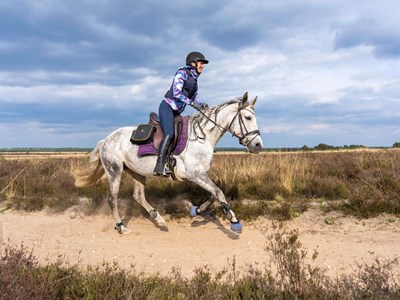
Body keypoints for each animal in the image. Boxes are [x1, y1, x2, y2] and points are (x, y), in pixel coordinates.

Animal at [73, 91, 264, 234]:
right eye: (248, 117)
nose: (258, 145)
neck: (202, 136)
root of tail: (105, 140)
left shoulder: (201, 174)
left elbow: (214, 194)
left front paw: (197, 211)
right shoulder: (195, 174)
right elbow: (218, 192)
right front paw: (234, 221)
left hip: (137, 172)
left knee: (138, 196)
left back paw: (158, 219)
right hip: (114, 170)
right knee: (112, 199)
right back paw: (121, 227)